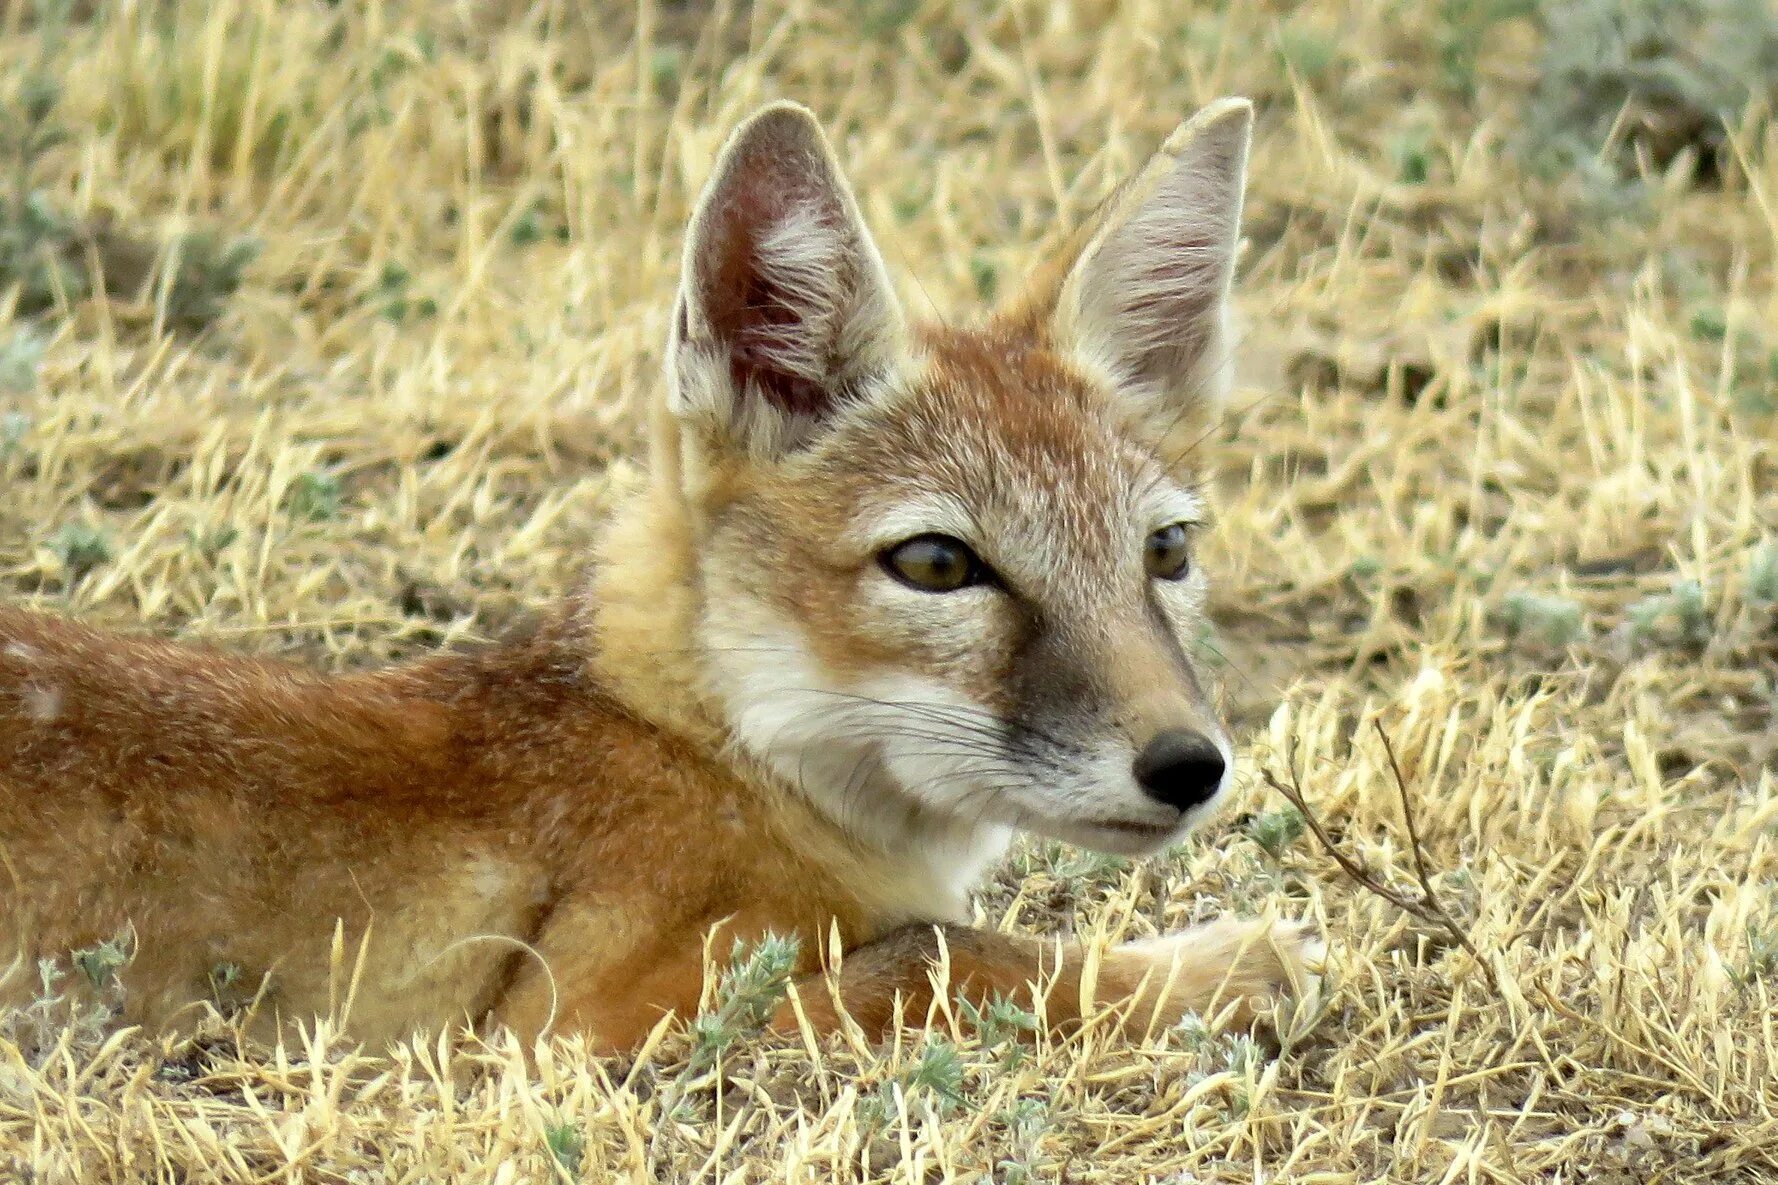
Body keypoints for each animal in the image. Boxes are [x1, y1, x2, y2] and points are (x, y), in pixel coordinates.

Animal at [0, 96, 1322, 1046]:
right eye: (939, 563)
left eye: (1164, 553)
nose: (1188, 767)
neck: (710, 746)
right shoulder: (566, 1034)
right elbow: (942, 954)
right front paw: (1225, 968)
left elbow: (938, 946)